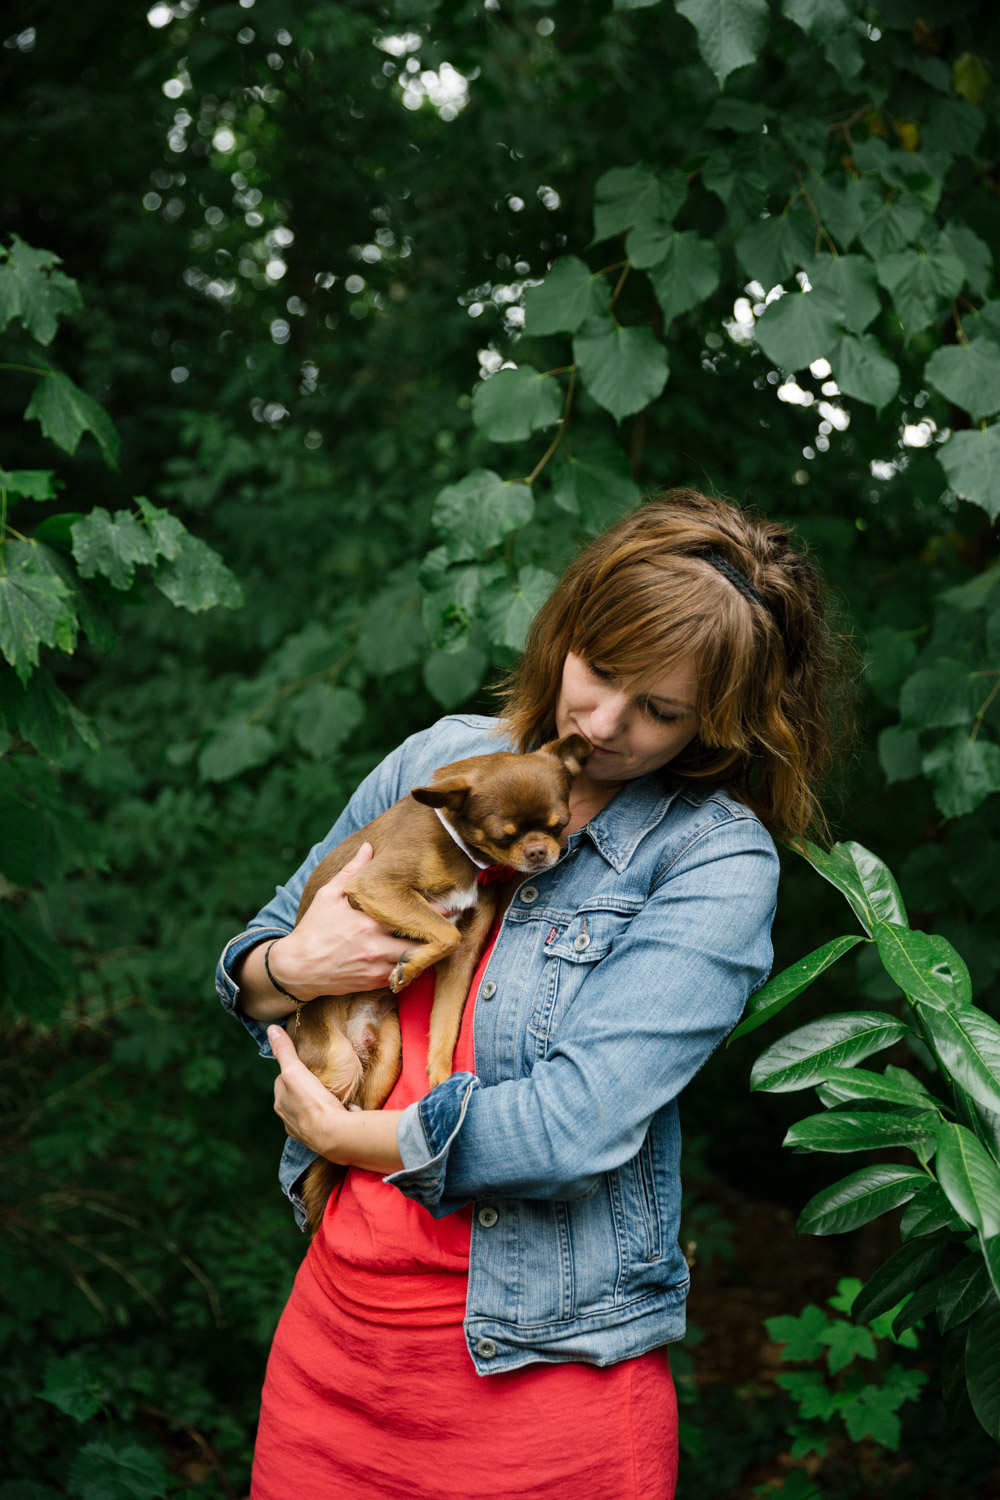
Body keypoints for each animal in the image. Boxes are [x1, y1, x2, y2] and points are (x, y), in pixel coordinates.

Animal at [287, 732, 587, 1236]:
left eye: (559, 825)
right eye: (504, 836)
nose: (540, 851)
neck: (459, 848)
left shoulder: (463, 955)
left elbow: (445, 1020)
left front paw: (442, 1082)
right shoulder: (375, 886)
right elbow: (442, 932)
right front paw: (408, 967)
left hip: (386, 1057)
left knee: (354, 1115)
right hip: (336, 1060)